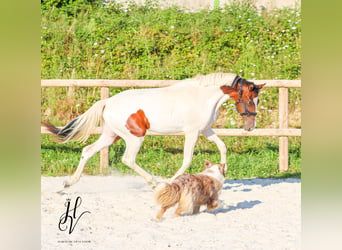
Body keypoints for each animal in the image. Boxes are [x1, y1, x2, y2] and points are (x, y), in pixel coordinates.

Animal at [43, 72, 264, 188]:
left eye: (257, 100)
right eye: (248, 100)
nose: (250, 127)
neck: (202, 97)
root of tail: (107, 102)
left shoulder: (205, 130)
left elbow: (223, 147)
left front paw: (223, 174)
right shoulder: (192, 132)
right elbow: (187, 160)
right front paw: (170, 181)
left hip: (110, 136)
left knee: (87, 151)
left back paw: (69, 182)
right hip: (134, 137)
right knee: (128, 159)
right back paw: (155, 182)